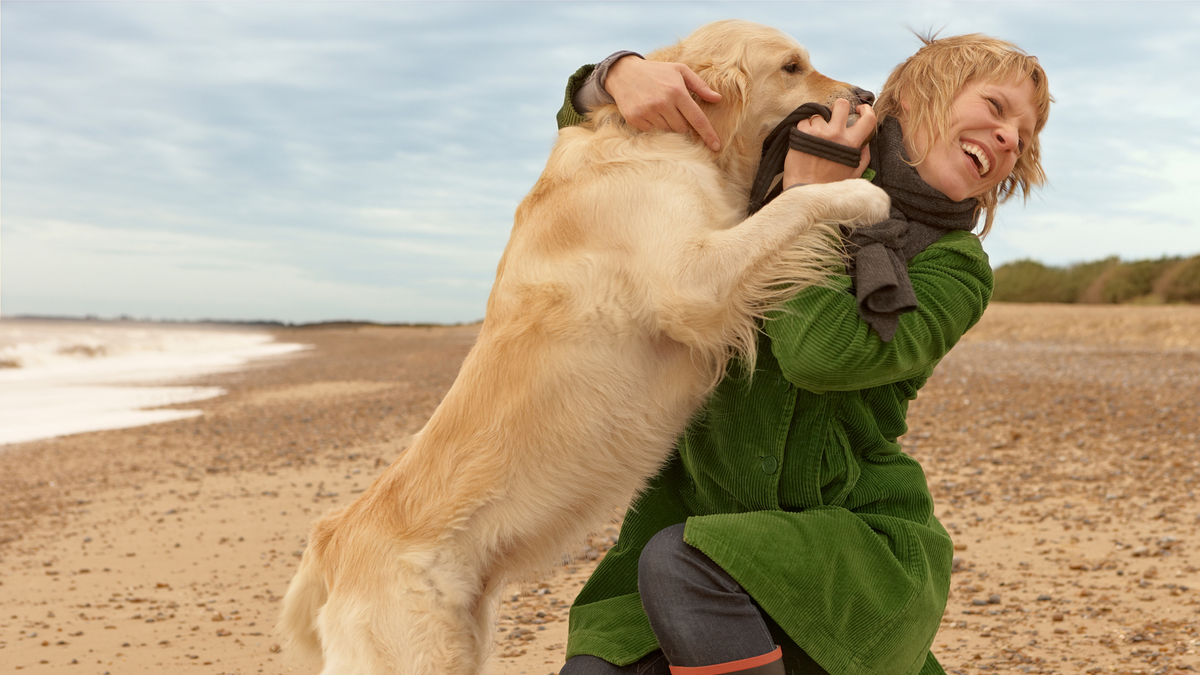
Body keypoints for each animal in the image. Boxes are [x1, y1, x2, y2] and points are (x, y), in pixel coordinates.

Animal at [276, 18, 888, 667]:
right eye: (792, 68)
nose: (868, 95)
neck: (673, 139)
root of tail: (333, 539)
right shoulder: (690, 286)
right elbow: (793, 201)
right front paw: (862, 194)